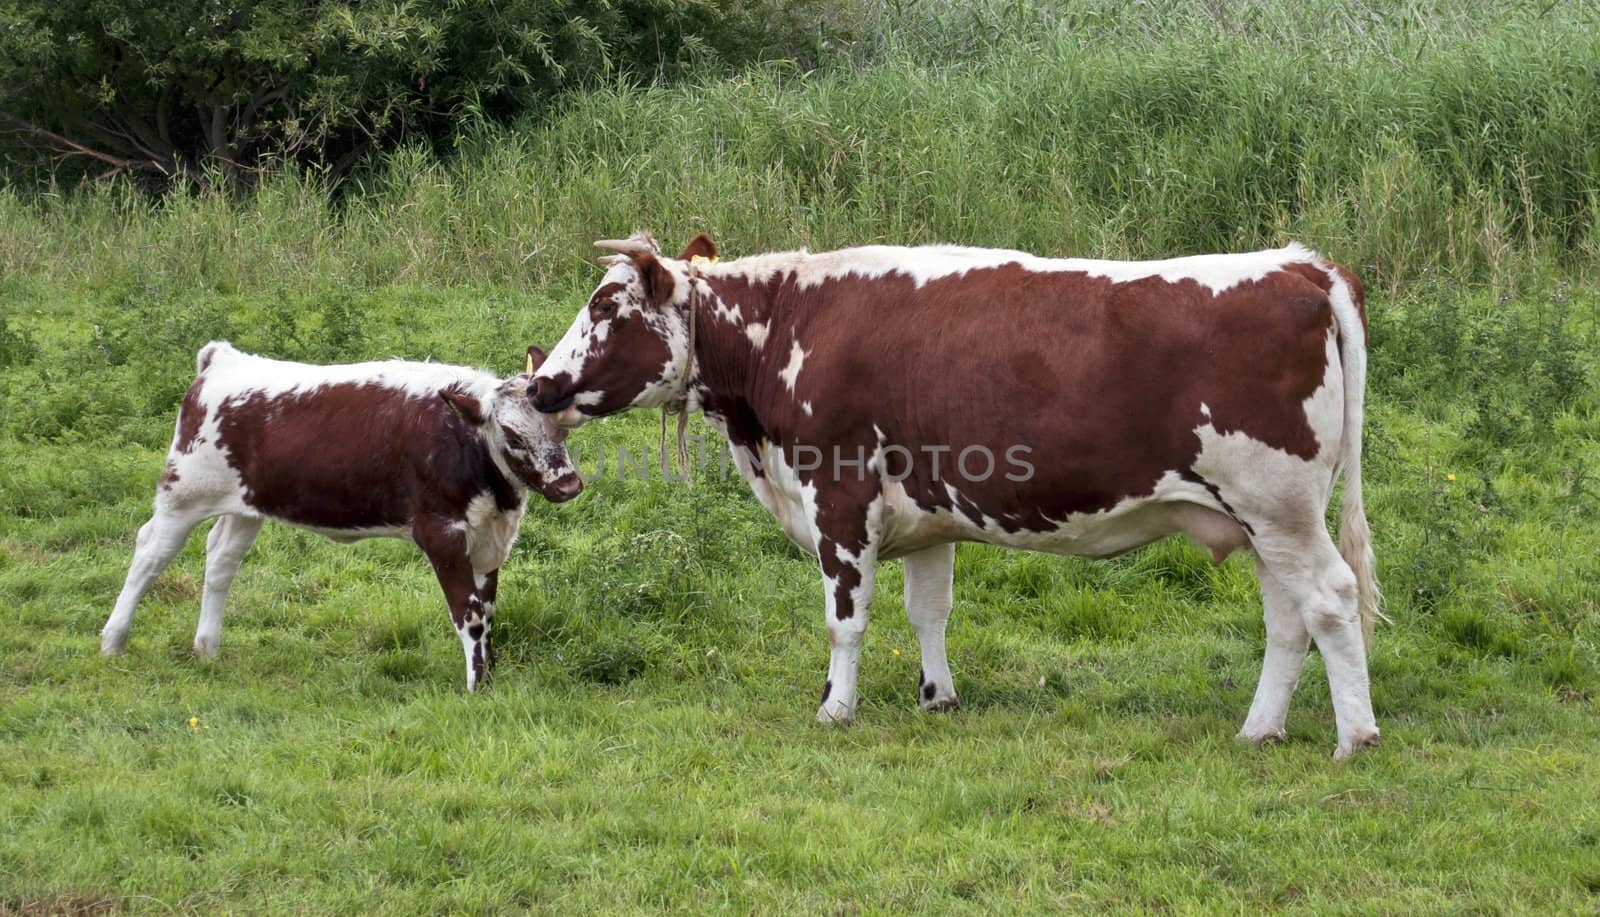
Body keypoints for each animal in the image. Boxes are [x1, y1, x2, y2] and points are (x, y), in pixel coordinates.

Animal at [98, 340, 582, 684]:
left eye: (562, 428)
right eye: (513, 436)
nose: (568, 485)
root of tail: (223, 360)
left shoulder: (488, 537)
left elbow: (490, 608)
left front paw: (492, 675)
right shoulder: (440, 532)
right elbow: (471, 613)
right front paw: (477, 687)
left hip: (246, 507)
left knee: (221, 559)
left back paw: (207, 649)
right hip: (183, 494)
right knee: (150, 553)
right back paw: (113, 642)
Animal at [531, 230, 1382, 758]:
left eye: (605, 306)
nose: (541, 386)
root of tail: (1302, 265)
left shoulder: (838, 493)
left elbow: (846, 619)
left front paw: (835, 707)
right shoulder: (924, 511)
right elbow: (928, 610)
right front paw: (936, 696)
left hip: (1280, 506)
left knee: (1332, 600)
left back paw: (1355, 737)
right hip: (1261, 520)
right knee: (1288, 620)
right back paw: (1260, 729)